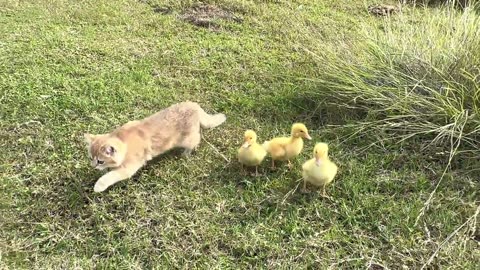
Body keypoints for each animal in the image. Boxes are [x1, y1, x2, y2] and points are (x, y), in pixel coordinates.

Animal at [84, 101, 227, 192]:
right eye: (90, 158)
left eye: (100, 161)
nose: (93, 166)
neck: (123, 140)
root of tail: (194, 105)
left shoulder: (129, 168)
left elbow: (110, 176)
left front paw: (98, 186)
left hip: (187, 139)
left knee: (196, 140)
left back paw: (186, 153)